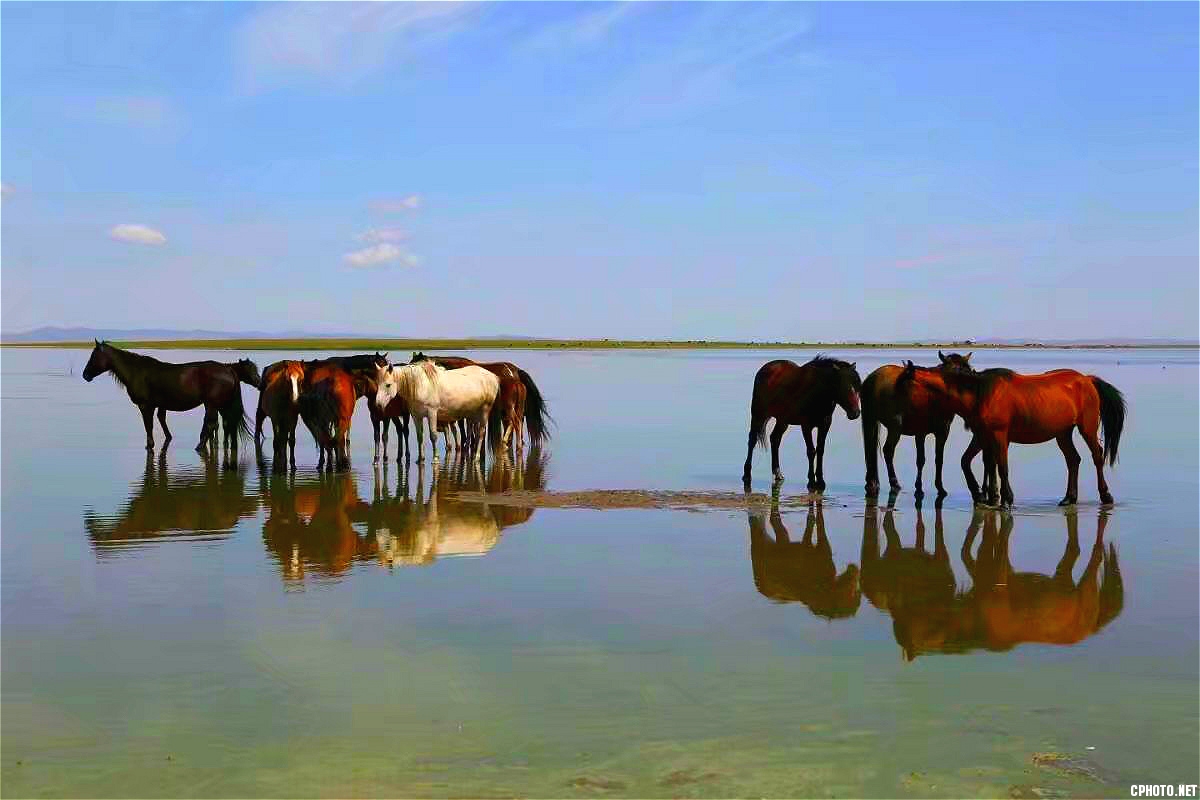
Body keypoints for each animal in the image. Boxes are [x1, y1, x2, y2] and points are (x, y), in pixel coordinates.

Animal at [82, 340, 258, 462]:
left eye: (93, 356)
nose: (85, 375)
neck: (137, 371)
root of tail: (228, 370)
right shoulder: (160, 405)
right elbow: (161, 421)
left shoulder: (146, 406)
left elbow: (149, 425)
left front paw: (150, 446)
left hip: (211, 404)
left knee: (211, 424)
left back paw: (199, 447)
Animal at [742, 355, 863, 490]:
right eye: (843, 386)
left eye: (858, 387)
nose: (855, 413)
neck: (818, 392)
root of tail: (764, 369)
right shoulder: (806, 426)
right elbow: (811, 451)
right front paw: (811, 481)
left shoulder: (825, 424)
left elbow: (820, 450)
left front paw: (820, 481)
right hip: (758, 414)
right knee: (752, 440)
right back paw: (747, 474)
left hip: (782, 420)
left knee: (775, 439)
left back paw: (778, 473)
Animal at [862, 351, 974, 499]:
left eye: (967, 372)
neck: (936, 394)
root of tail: (872, 378)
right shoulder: (941, 432)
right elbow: (933, 459)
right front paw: (937, 488)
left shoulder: (923, 433)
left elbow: (925, 460)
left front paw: (920, 487)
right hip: (895, 428)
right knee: (888, 451)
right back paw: (894, 483)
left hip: (872, 421)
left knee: (871, 450)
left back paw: (871, 483)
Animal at [896, 361, 1126, 506]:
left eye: (903, 386)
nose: (899, 416)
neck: (979, 393)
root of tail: (1087, 380)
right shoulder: (982, 436)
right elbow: (972, 462)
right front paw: (982, 496)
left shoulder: (999, 436)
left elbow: (1002, 467)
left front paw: (1006, 499)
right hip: (1063, 433)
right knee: (1073, 460)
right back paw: (1069, 498)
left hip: (1087, 427)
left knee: (1097, 456)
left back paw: (1106, 496)